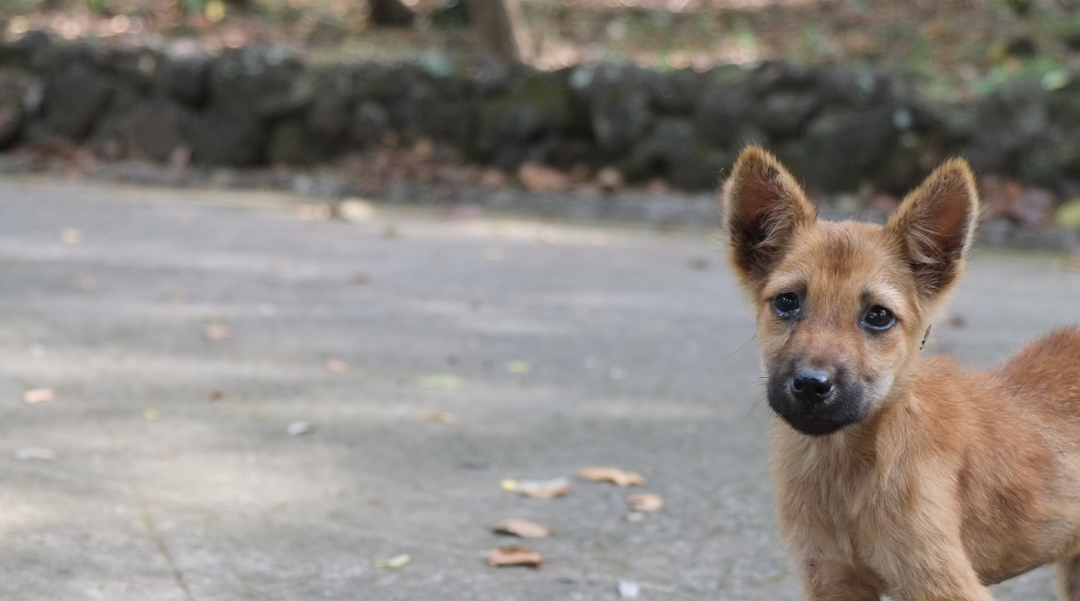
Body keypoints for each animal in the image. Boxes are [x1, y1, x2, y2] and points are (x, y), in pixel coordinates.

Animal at [721, 145, 1080, 601]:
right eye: (787, 302)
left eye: (878, 316)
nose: (811, 385)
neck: (847, 474)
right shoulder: (832, 579)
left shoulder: (941, 581)